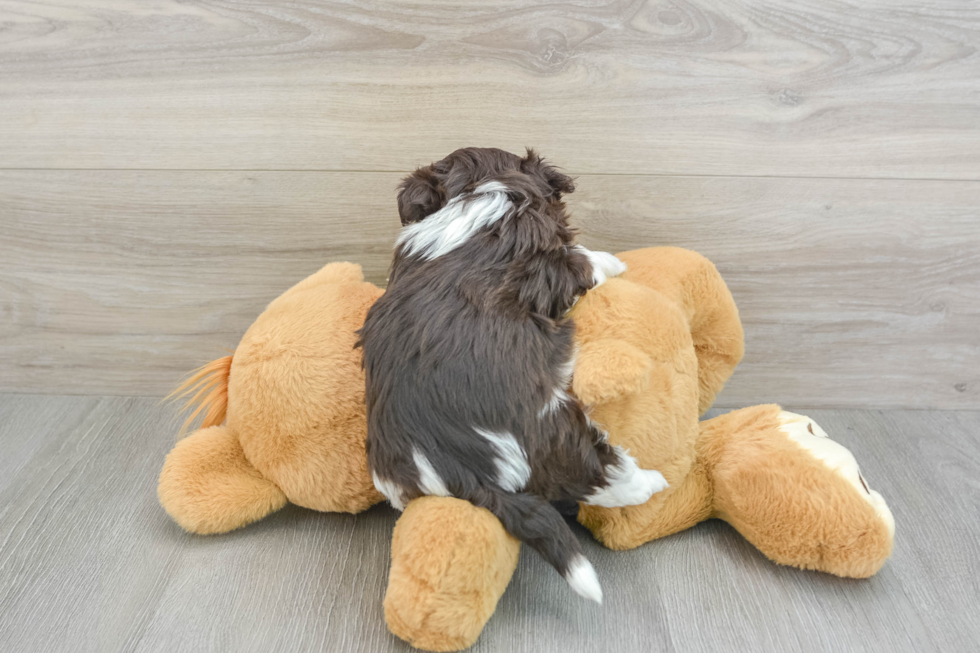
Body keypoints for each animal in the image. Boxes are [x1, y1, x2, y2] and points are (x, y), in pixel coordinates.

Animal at [356, 148, 668, 600]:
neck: (478, 191)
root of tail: (455, 466)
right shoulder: (551, 261)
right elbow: (582, 260)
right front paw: (613, 261)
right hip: (551, 427)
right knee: (598, 472)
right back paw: (650, 482)